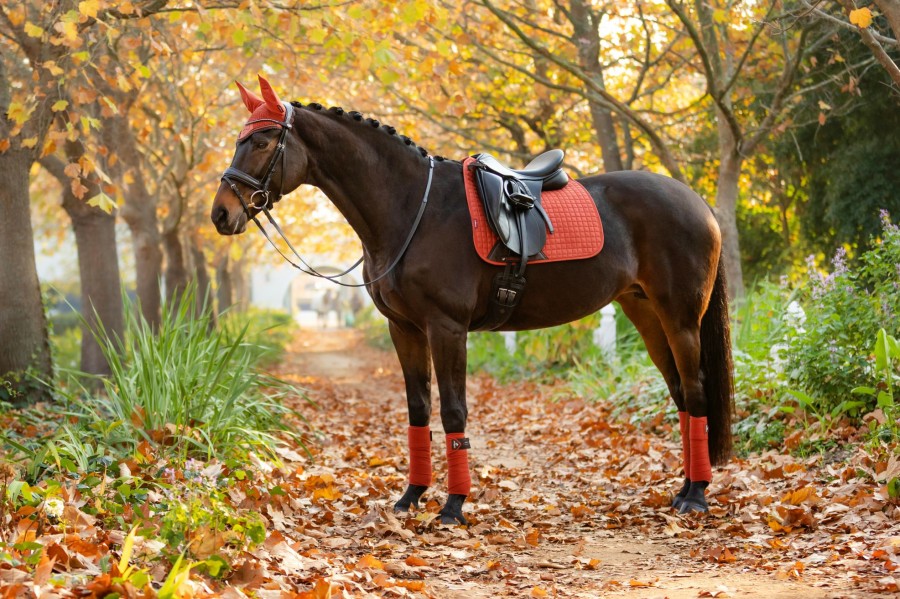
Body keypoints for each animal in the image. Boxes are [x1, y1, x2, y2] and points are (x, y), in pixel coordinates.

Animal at [214, 75, 736, 524]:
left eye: (262, 142)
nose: (221, 213)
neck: (412, 208)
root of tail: (695, 201)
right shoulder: (404, 330)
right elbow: (419, 410)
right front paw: (411, 497)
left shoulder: (447, 328)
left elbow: (453, 412)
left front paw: (453, 506)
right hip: (646, 313)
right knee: (681, 394)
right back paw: (684, 488)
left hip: (680, 317)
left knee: (695, 390)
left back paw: (696, 496)